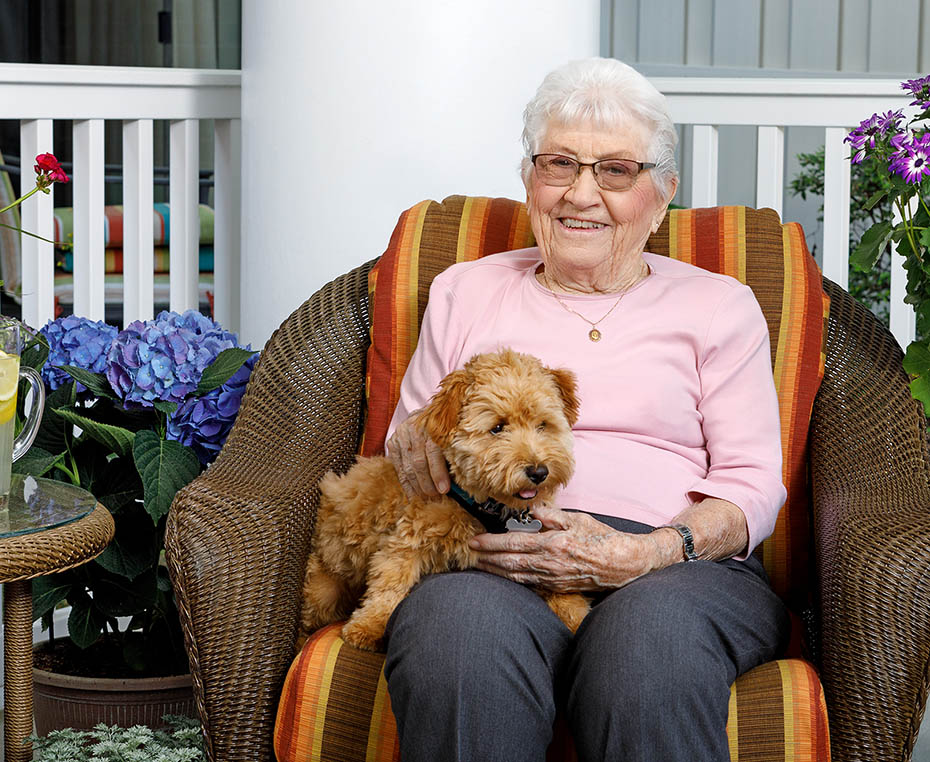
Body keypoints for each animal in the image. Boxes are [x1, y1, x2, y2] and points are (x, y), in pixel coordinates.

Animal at [298, 348, 588, 652]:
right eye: (497, 428)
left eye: (543, 425)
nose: (538, 472)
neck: (481, 504)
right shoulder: (405, 541)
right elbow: (390, 581)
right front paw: (369, 625)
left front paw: (576, 614)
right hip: (324, 590)